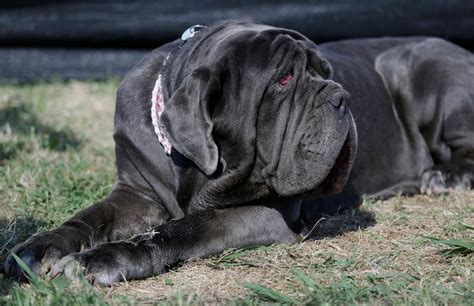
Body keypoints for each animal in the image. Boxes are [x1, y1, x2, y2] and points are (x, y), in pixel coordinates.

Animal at [4, 20, 474, 284]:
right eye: (283, 80)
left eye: (326, 72)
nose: (341, 96)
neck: (191, 162)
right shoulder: (135, 194)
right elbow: (89, 218)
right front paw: (38, 247)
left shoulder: (265, 213)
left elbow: (184, 228)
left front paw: (100, 259)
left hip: (426, 70)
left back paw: (445, 175)